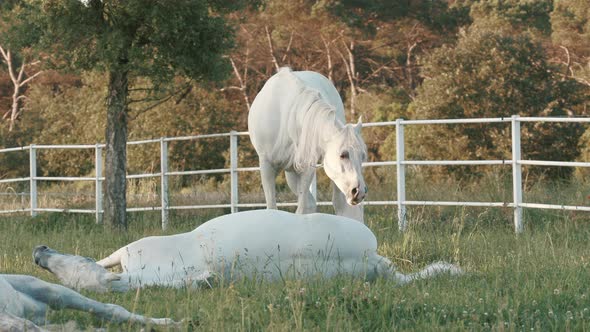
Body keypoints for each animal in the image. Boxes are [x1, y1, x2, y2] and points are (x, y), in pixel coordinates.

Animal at [247, 68, 368, 222]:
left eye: (363, 156)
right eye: (343, 155)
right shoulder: (266, 165)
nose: (359, 191)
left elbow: (302, 208)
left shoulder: (306, 169)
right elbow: (273, 207)